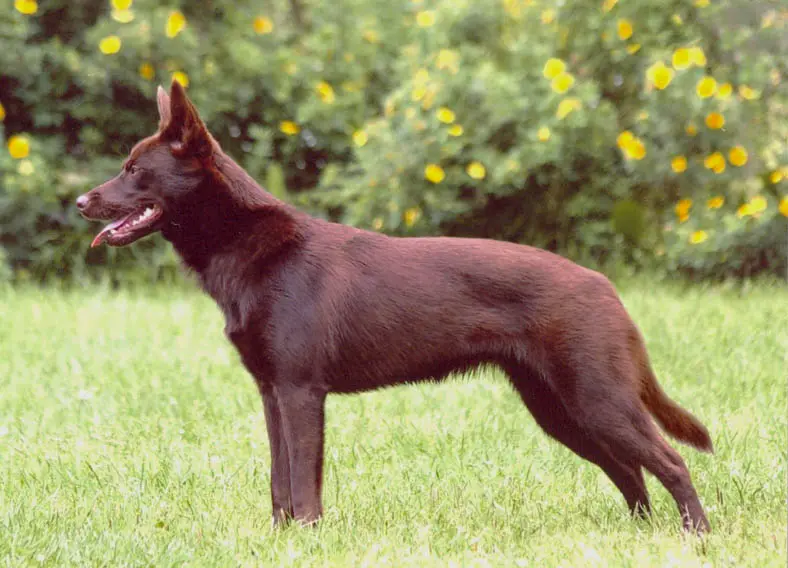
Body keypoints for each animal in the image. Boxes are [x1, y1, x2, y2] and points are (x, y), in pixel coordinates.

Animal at [77, 83, 712, 532]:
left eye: (135, 170)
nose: (81, 201)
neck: (252, 248)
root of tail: (605, 287)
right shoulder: (272, 394)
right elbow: (280, 485)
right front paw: (280, 541)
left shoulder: (301, 393)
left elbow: (303, 485)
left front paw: (308, 541)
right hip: (560, 409)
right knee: (631, 472)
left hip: (596, 399)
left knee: (671, 462)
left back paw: (696, 536)